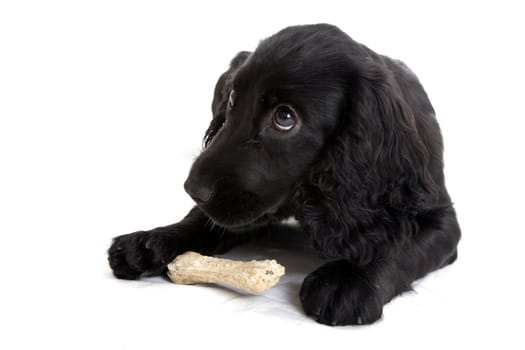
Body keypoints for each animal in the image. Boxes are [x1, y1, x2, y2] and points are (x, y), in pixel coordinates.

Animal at [109, 23, 458, 326]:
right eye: (232, 99)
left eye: (285, 118)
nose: (192, 188)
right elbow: (201, 220)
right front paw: (151, 242)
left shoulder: (438, 216)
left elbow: (400, 244)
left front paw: (350, 280)